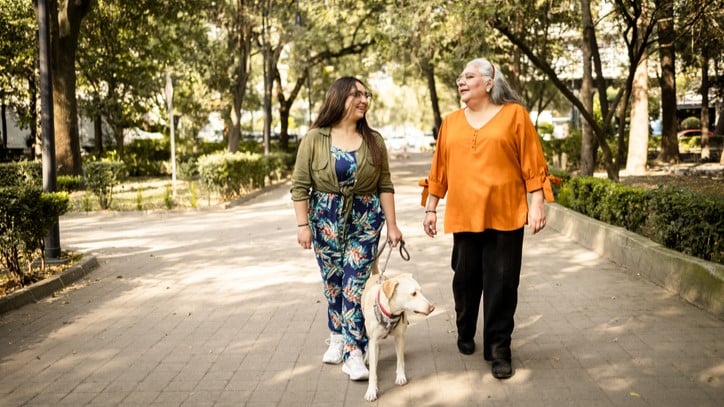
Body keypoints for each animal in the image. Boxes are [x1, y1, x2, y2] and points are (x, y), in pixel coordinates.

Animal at [362, 266, 436, 404]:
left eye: (421, 291)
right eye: (413, 294)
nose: (432, 308)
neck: (390, 313)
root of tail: (377, 275)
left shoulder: (399, 337)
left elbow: (400, 360)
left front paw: (401, 376)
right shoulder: (374, 340)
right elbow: (373, 372)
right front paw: (371, 390)